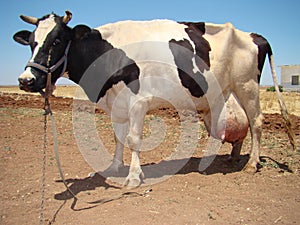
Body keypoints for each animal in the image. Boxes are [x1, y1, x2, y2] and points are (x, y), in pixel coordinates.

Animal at [12, 10, 292, 186]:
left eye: (57, 41)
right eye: (32, 42)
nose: (26, 80)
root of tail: (252, 35)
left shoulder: (138, 101)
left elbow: (133, 139)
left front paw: (134, 177)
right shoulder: (116, 103)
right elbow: (118, 137)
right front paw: (114, 167)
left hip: (247, 85)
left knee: (256, 122)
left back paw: (252, 164)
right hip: (229, 91)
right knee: (239, 122)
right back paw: (234, 157)